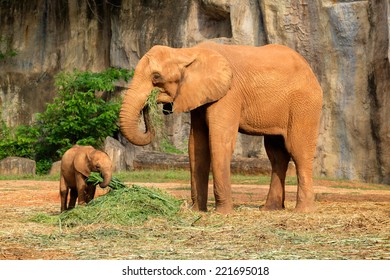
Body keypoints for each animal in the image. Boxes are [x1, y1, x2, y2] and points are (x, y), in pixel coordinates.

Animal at [119, 41, 322, 214]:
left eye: (156, 77)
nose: (149, 106)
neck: (186, 52)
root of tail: (310, 69)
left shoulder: (228, 95)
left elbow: (219, 141)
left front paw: (223, 213)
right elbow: (196, 146)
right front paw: (198, 211)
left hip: (304, 104)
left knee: (298, 150)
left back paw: (303, 211)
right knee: (276, 154)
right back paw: (270, 209)